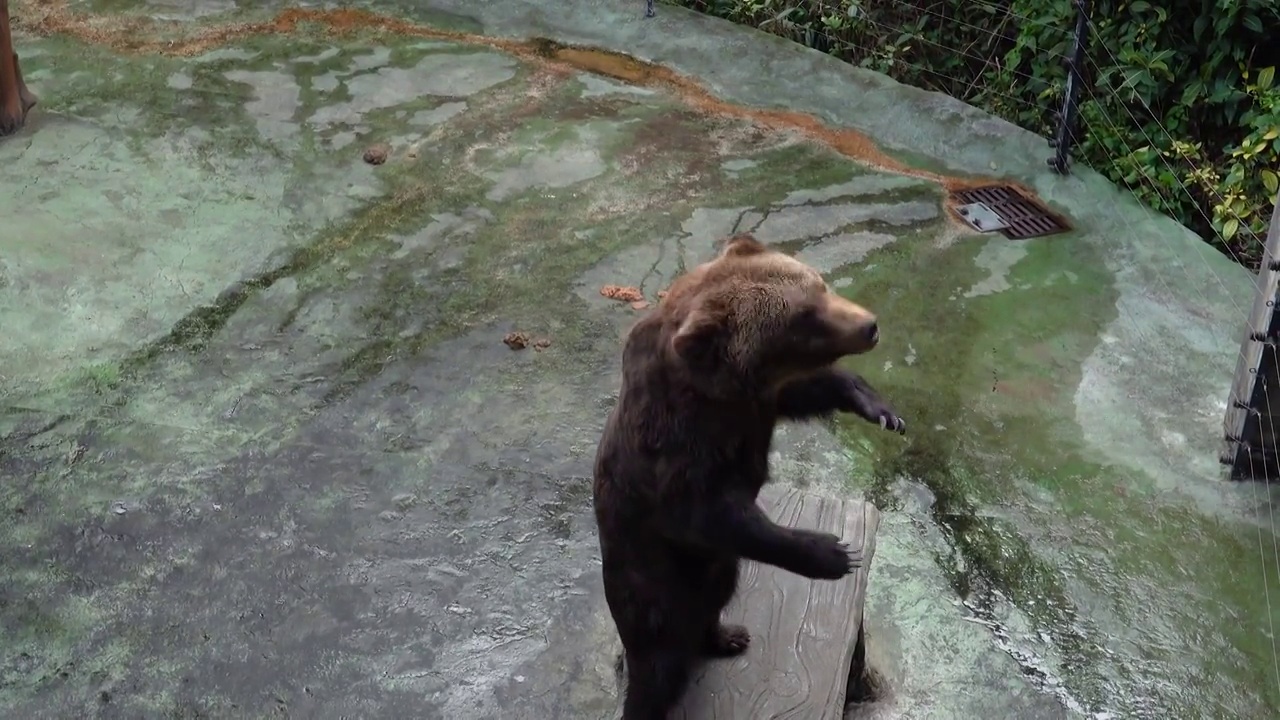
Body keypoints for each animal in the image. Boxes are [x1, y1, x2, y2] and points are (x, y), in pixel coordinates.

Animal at [593, 233, 906, 712]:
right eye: (803, 319)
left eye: (820, 284)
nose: (869, 325)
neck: (720, 391)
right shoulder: (677, 445)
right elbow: (706, 514)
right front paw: (832, 552)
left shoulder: (758, 402)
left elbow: (804, 392)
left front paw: (879, 408)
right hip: (653, 586)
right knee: (659, 663)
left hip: (717, 572)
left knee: (717, 598)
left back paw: (727, 635)